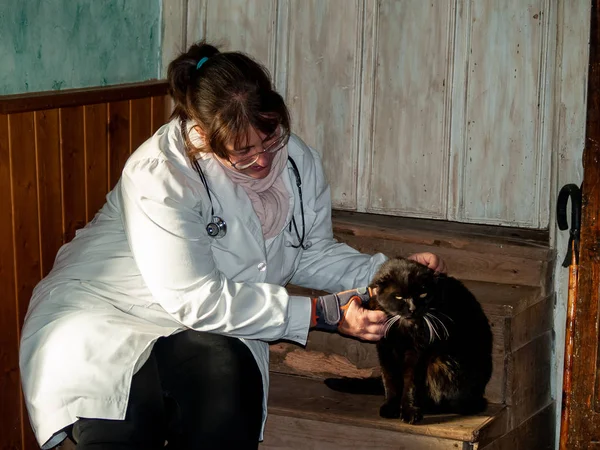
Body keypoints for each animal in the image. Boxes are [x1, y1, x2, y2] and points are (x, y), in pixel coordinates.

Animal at [328, 258, 492, 424]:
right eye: (399, 297)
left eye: (423, 294)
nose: (413, 309)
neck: (402, 327)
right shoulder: (385, 348)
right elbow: (390, 379)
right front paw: (391, 406)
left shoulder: (417, 351)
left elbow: (411, 382)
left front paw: (409, 411)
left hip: (442, 362)